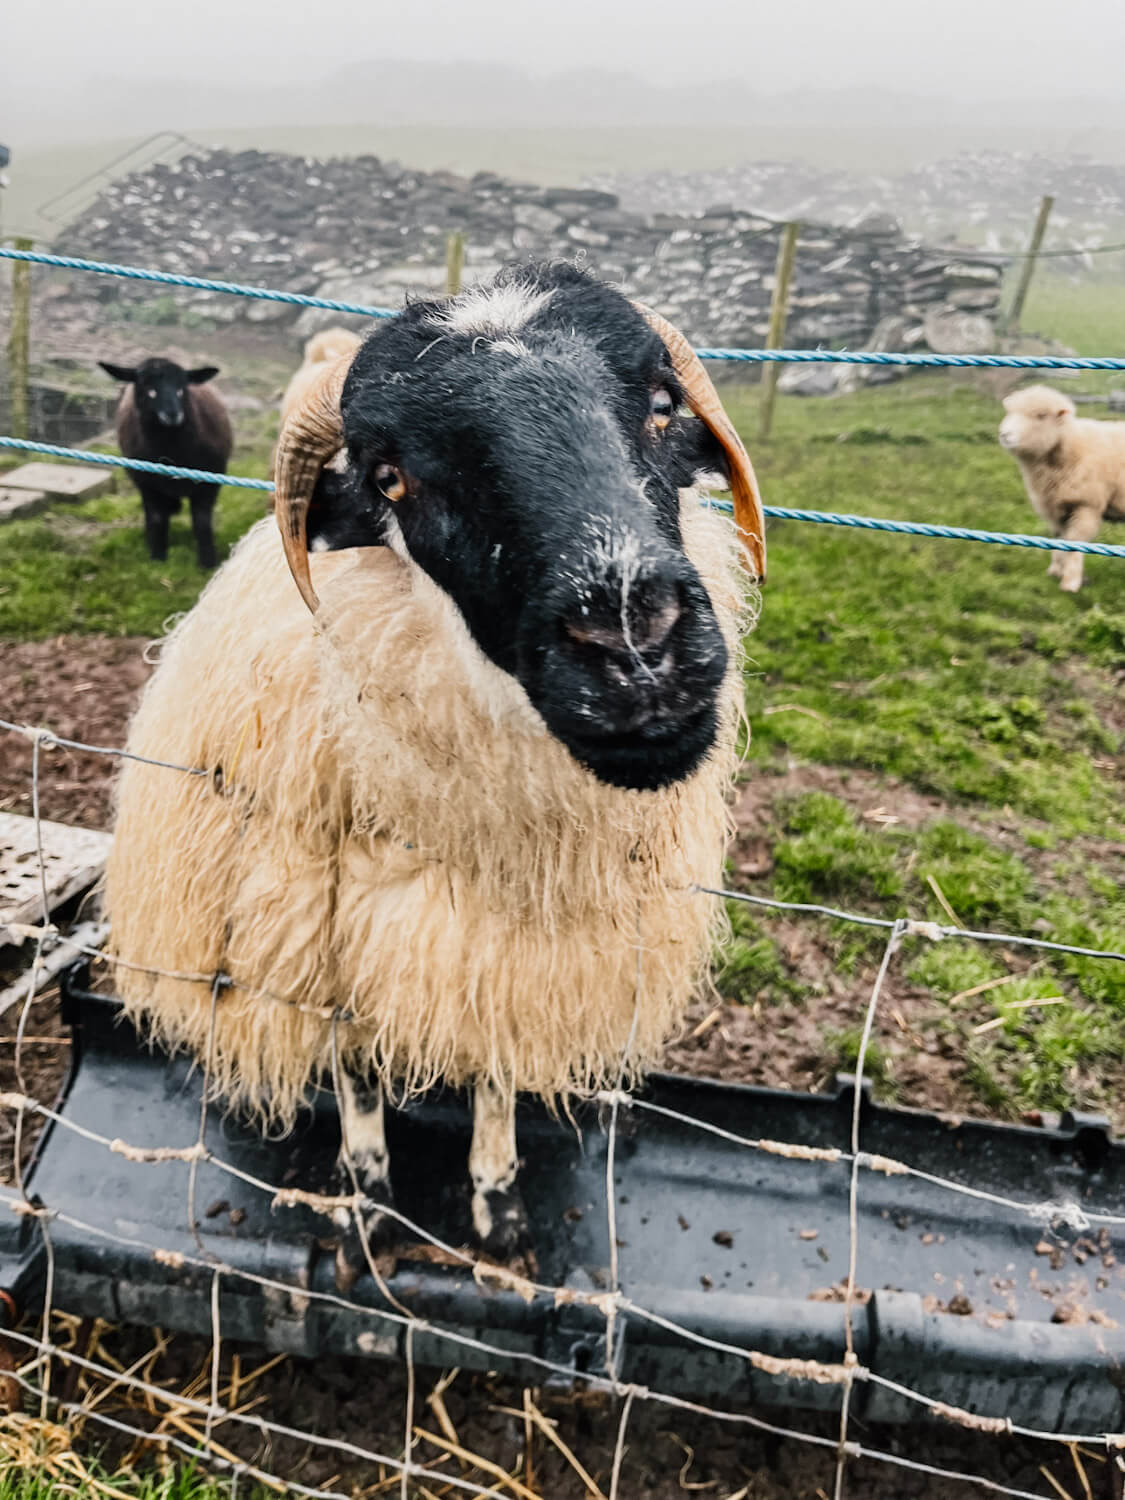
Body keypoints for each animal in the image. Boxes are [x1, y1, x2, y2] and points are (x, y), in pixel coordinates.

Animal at [98, 357, 233, 568]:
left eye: (182, 387)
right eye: (146, 387)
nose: (173, 414)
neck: (172, 453)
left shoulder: (209, 482)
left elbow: (202, 522)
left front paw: (208, 562)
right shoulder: (148, 483)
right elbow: (157, 519)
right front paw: (157, 557)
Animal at [998, 384, 1125, 591]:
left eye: (1041, 415)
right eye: (1009, 412)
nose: (1005, 435)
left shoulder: (1087, 504)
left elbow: (1073, 542)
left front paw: (1070, 583)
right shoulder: (1056, 505)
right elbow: (1059, 538)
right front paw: (1056, 571)